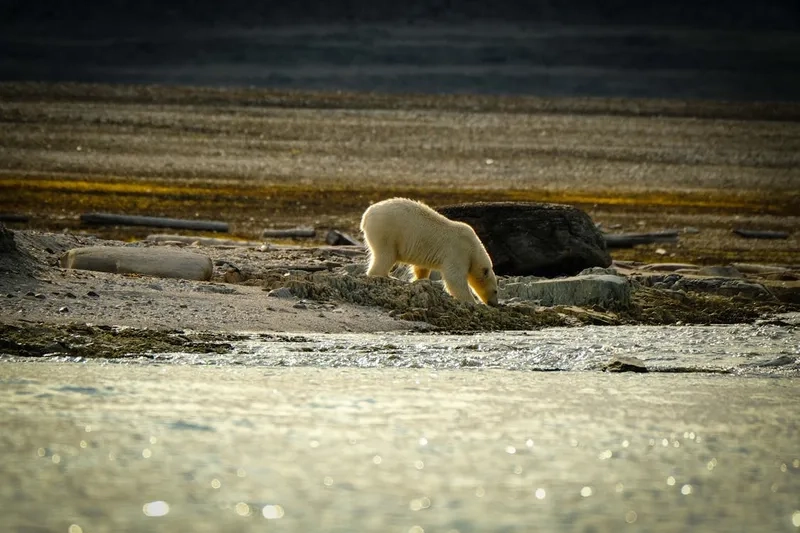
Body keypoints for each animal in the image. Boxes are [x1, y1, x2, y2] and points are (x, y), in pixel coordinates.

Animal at [360, 197, 496, 306]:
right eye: (495, 291)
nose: (494, 303)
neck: (474, 248)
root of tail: (366, 216)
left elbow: (421, 267)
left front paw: (419, 279)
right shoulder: (459, 251)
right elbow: (454, 278)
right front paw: (472, 301)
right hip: (387, 231)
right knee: (386, 255)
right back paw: (387, 276)